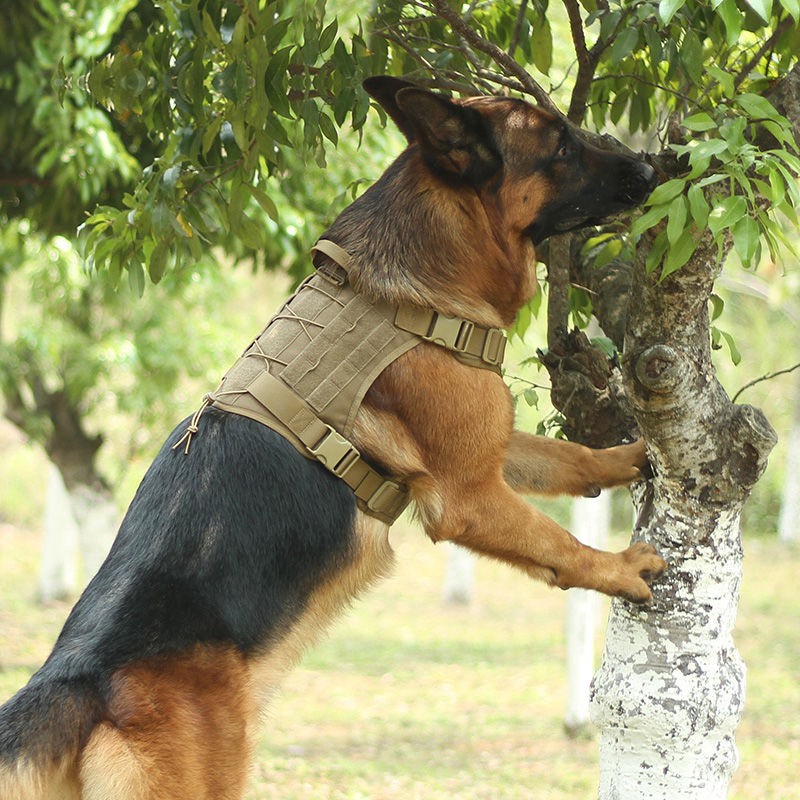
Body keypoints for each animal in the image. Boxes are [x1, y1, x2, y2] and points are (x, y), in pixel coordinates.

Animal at [0, 76, 664, 800]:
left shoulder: (486, 449)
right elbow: (558, 545)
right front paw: (620, 569)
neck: (413, 286)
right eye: (562, 146)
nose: (656, 168)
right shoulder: (466, 497)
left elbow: (570, 459)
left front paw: (632, 456)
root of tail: (78, 680)